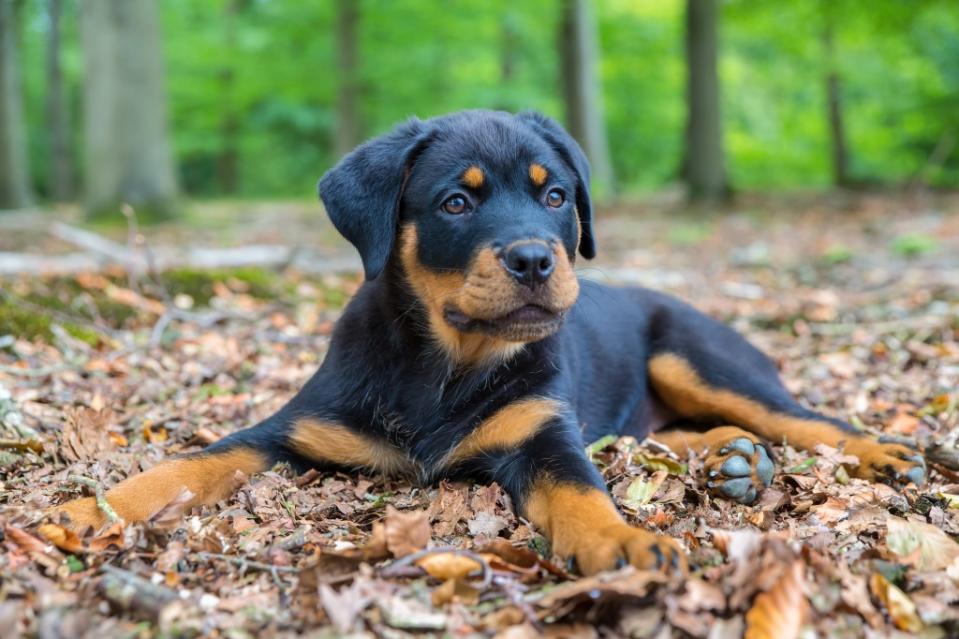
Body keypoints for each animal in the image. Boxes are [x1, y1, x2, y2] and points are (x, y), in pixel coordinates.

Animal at [56, 110, 928, 576]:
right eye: (454, 202)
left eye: (556, 195)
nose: (536, 258)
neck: (446, 364)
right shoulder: (291, 428)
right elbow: (196, 460)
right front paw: (92, 508)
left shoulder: (541, 432)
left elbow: (580, 490)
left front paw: (623, 543)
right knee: (662, 433)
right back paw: (730, 458)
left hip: (695, 354)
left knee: (803, 417)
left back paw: (878, 452)